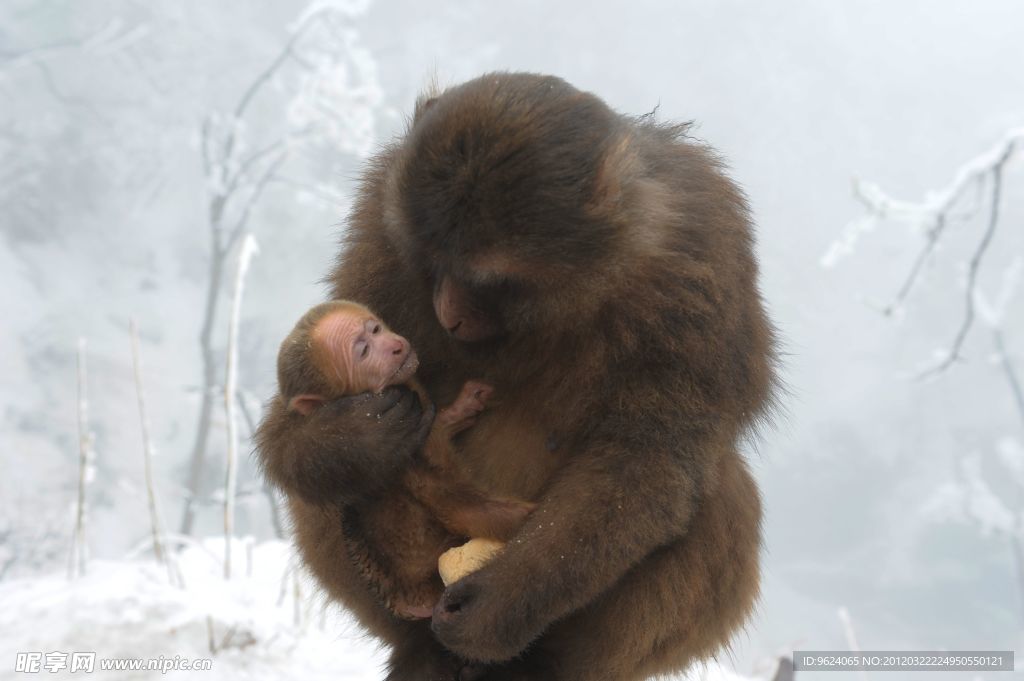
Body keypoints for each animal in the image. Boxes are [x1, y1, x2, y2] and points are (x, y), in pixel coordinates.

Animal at [278, 301, 536, 618]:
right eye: (363, 350)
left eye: (376, 329)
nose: (395, 347)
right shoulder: (405, 451)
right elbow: (453, 504)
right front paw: (526, 517)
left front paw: (463, 407)